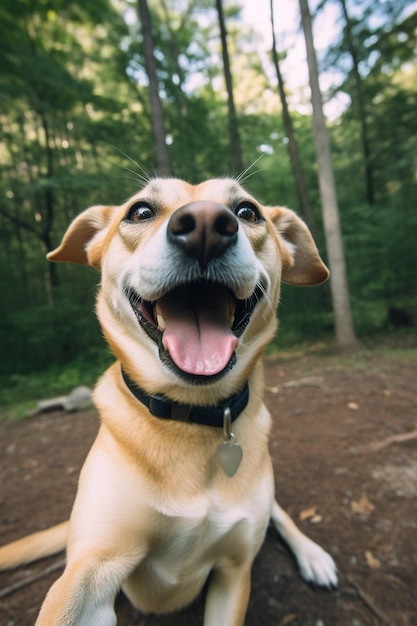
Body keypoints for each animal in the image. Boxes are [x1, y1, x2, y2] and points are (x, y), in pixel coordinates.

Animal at [0, 177, 336, 624]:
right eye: (140, 211)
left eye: (247, 211)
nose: (207, 226)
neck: (191, 413)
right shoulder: (92, 565)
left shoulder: (234, 572)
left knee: (278, 514)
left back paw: (313, 555)